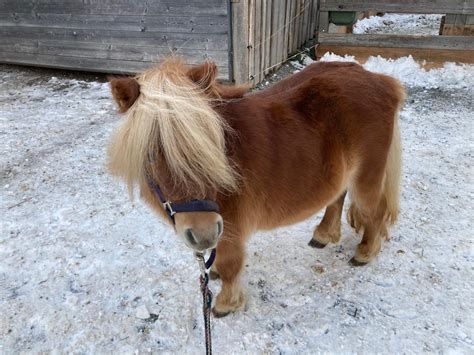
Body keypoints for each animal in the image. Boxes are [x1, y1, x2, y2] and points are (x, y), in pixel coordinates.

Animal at [107, 57, 404, 318]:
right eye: (150, 154)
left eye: (210, 145)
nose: (203, 235)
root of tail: (383, 81)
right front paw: (213, 273)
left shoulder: (230, 228)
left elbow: (230, 266)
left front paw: (226, 304)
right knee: (337, 197)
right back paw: (323, 235)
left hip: (366, 179)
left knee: (375, 211)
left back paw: (364, 252)